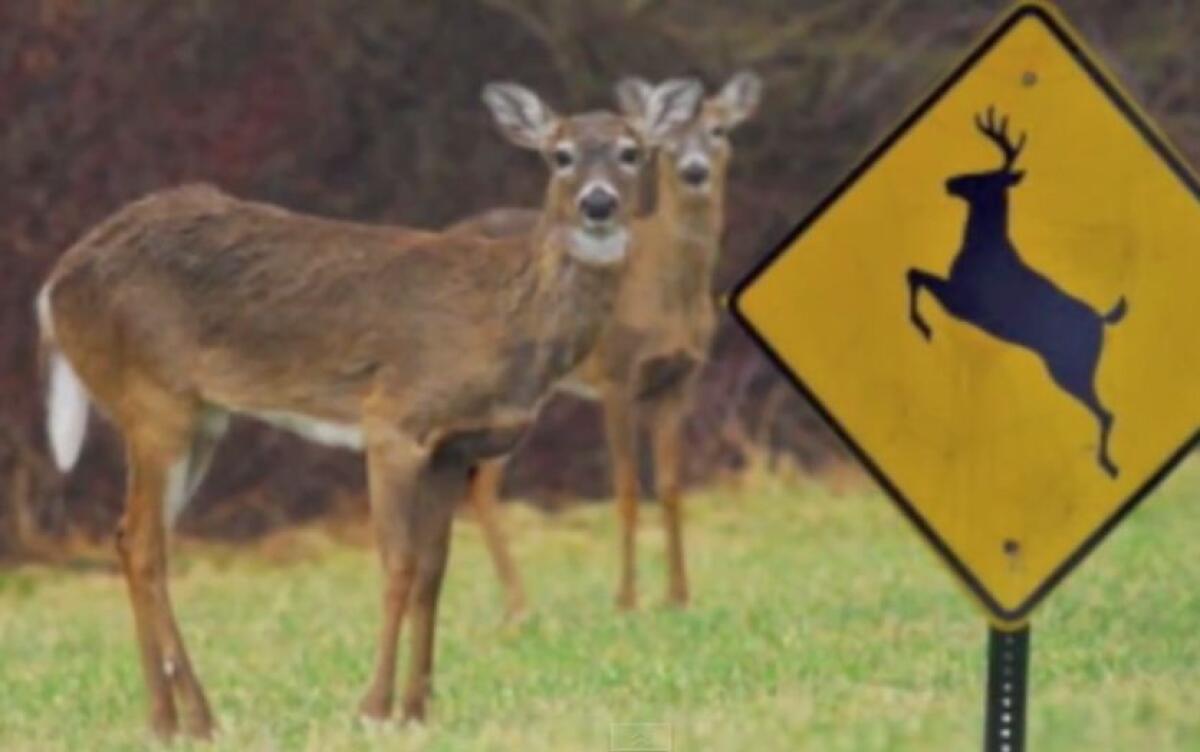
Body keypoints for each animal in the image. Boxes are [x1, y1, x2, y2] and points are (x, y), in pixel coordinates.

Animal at [35, 77, 700, 743]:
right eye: (560, 155)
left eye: (631, 151)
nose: (598, 204)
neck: (504, 318)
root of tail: (53, 288)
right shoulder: (394, 423)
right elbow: (397, 565)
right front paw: (375, 708)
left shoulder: (454, 446)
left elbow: (434, 570)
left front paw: (418, 707)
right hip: (153, 398)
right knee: (146, 544)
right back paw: (198, 718)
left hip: (200, 417)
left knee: (132, 539)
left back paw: (166, 719)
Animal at [453, 71, 763, 618]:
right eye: (665, 143)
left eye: (719, 130)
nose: (695, 170)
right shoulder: (618, 375)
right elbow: (626, 487)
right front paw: (626, 599)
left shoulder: (680, 379)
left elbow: (671, 486)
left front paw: (679, 595)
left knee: (481, 484)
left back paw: (517, 603)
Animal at [907, 107, 1123, 477]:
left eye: (981, 179)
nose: (949, 182)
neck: (982, 248)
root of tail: (1102, 320)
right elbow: (914, 274)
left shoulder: (965, 303)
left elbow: (914, 274)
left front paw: (924, 327)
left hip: (1071, 365)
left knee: (1106, 412)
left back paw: (1107, 466)